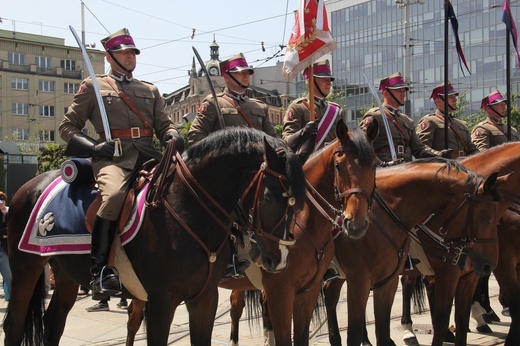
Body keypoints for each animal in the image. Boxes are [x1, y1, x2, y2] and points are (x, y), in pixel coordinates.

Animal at [3, 127, 308, 346]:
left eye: (298, 202)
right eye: (269, 198)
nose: (279, 260)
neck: (188, 207)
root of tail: (31, 184)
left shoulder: (204, 298)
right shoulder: (162, 301)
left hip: (65, 274)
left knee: (53, 323)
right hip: (25, 268)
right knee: (14, 325)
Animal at [125, 117, 378, 344]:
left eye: (374, 165)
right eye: (339, 166)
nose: (356, 224)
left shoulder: (309, 291)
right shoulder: (280, 292)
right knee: (134, 319)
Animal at [322, 159, 506, 346]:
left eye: (500, 213)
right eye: (485, 217)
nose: (488, 264)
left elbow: (461, 320)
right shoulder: (447, 274)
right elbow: (441, 320)